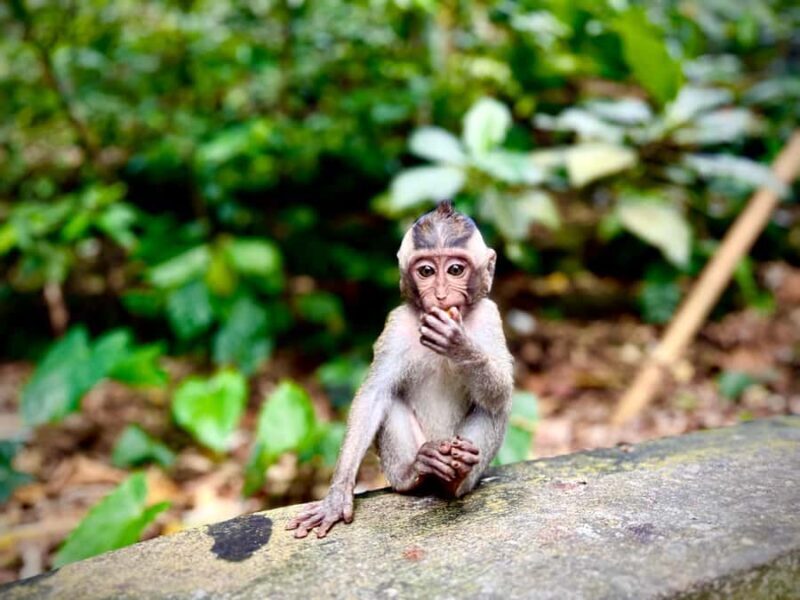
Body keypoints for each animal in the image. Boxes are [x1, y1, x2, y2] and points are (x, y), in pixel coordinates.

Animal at [286, 200, 514, 539]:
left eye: (455, 270)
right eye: (426, 271)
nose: (441, 295)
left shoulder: (490, 316)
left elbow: (502, 392)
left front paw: (459, 346)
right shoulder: (395, 325)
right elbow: (373, 396)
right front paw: (337, 496)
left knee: (495, 407)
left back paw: (456, 476)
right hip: (398, 465)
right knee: (390, 402)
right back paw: (418, 470)